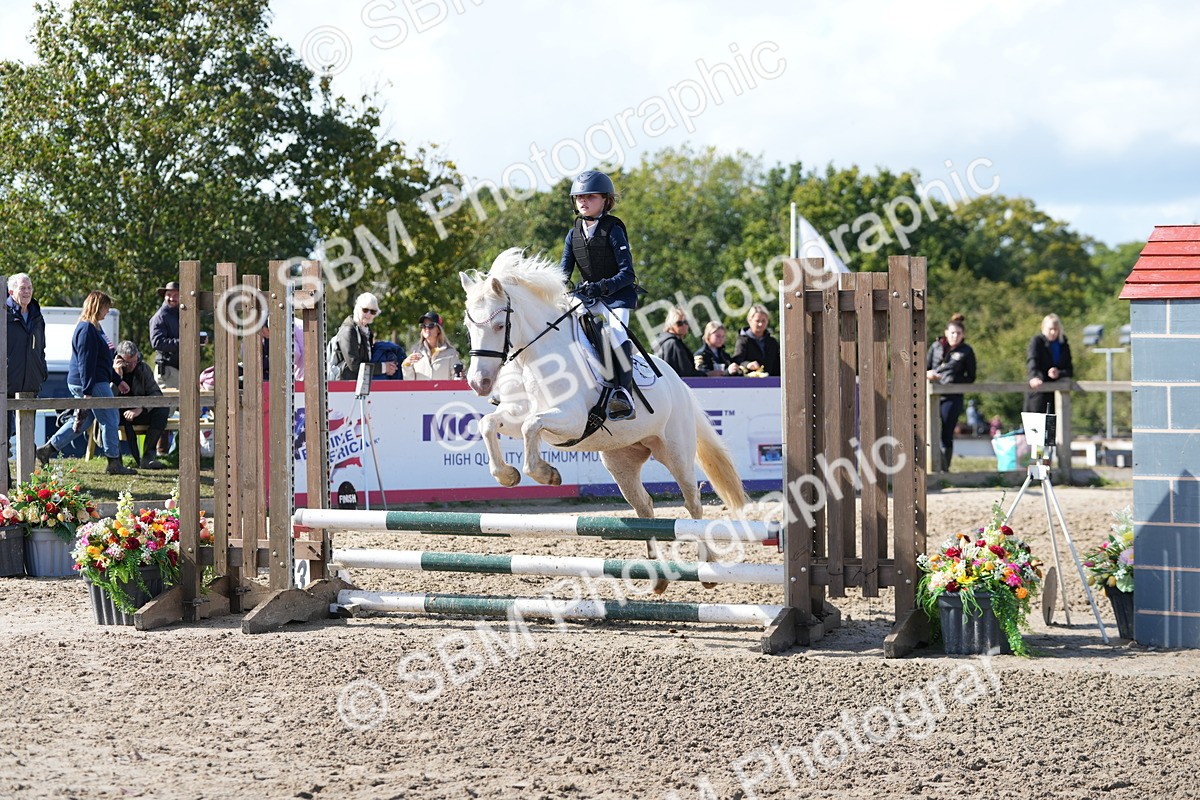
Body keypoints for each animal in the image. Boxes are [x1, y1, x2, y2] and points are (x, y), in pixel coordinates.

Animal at [459, 249, 748, 581]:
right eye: (469, 327)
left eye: (498, 326)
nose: (478, 383)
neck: (539, 357)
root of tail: (679, 383)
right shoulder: (519, 413)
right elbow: (490, 424)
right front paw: (507, 475)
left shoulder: (571, 421)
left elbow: (531, 427)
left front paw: (546, 474)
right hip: (622, 462)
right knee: (644, 505)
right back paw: (655, 574)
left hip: (676, 453)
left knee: (693, 504)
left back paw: (706, 564)